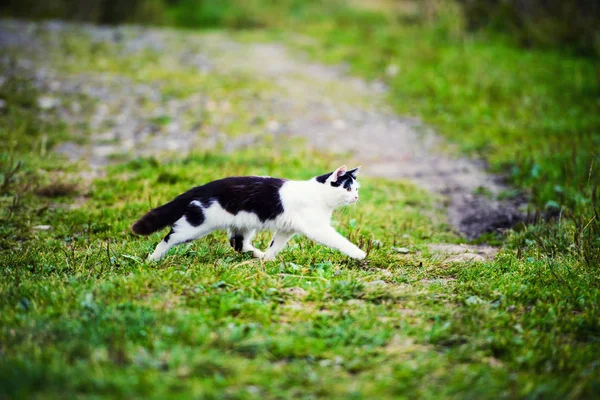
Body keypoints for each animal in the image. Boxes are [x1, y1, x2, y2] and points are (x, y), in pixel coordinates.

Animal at [132, 164, 366, 260]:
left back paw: (258, 255)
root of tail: (203, 187)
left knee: (237, 243)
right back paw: (152, 259)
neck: (319, 195)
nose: (356, 197)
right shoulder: (318, 228)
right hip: (195, 225)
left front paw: (268, 259)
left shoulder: (286, 229)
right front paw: (359, 254)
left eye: (356, 189)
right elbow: (340, 241)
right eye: (348, 188)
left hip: (244, 225)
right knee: (168, 237)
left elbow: (275, 245)